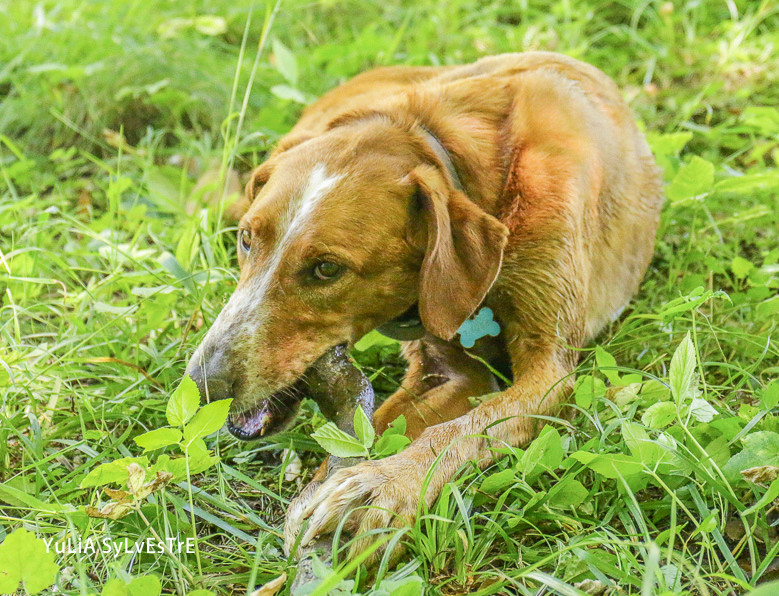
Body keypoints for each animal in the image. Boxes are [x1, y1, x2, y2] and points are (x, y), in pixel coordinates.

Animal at [187, 51, 664, 560]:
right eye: (247, 240)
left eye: (327, 269)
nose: (203, 385)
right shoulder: (445, 372)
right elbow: (377, 426)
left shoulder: (550, 374)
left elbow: (464, 428)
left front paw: (382, 485)